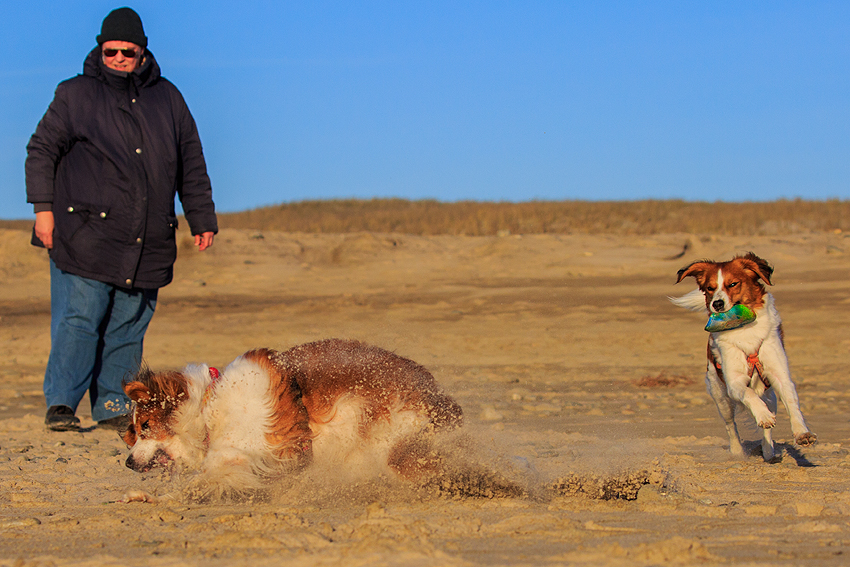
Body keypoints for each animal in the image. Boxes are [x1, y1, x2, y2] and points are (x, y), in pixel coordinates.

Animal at [121, 338, 458, 496]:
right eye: (133, 432)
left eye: (146, 426)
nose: (127, 462)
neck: (208, 406)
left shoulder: (243, 448)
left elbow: (208, 473)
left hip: (390, 438)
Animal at [668, 253, 816, 462]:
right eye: (710, 288)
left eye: (733, 284)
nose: (717, 304)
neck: (744, 328)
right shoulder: (734, 382)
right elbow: (749, 395)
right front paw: (762, 415)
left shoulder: (779, 375)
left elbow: (792, 403)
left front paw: (802, 433)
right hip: (721, 397)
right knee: (731, 425)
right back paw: (738, 451)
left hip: (770, 397)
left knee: (767, 427)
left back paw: (768, 451)